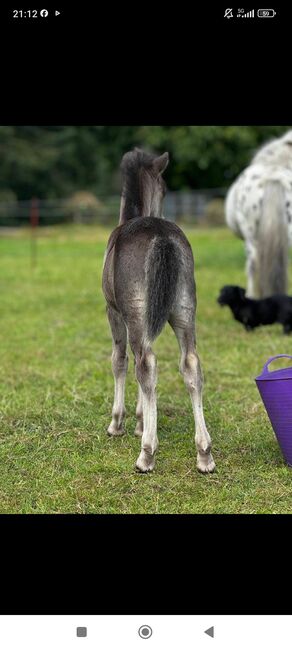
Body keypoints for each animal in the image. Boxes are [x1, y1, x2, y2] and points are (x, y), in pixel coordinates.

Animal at [102, 148, 214, 470]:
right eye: (164, 189)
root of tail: (162, 235)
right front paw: (141, 422)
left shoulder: (113, 312)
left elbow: (119, 360)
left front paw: (119, 424)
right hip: (184, 312)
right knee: (191, 364)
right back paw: (204, 454)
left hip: (136, 316)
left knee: (145, 364)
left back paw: (146, 454)